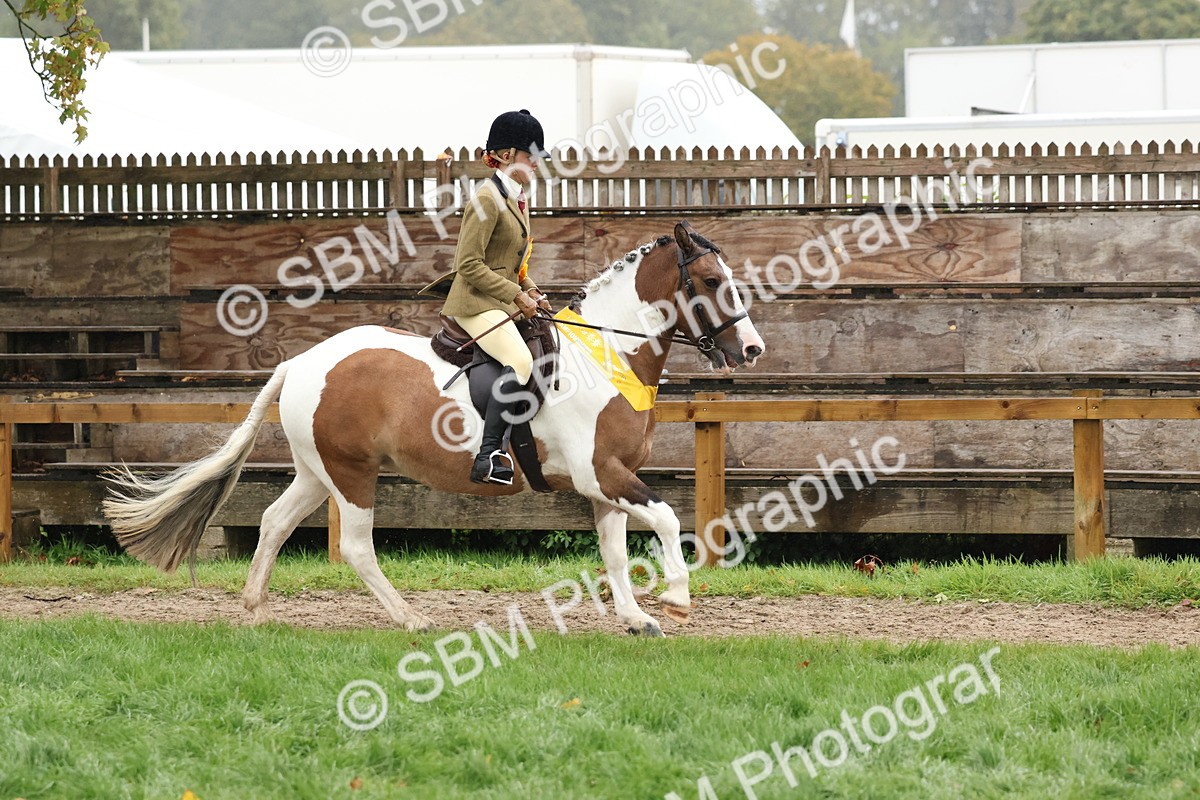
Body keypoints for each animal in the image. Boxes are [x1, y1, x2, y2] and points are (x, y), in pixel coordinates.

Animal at [102, 221, 766, 636]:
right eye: (711, 282)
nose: (753, 350)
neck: (605, 355)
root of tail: (303, 361)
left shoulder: (608, 481)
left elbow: (615, 551)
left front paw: (636, 618)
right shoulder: (599, 472)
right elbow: (667, 519)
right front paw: (676, 600)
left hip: (319, 471)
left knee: (274, 521)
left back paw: (256, 610)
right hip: (351, 474)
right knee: (355, 545)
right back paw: (410, 619)